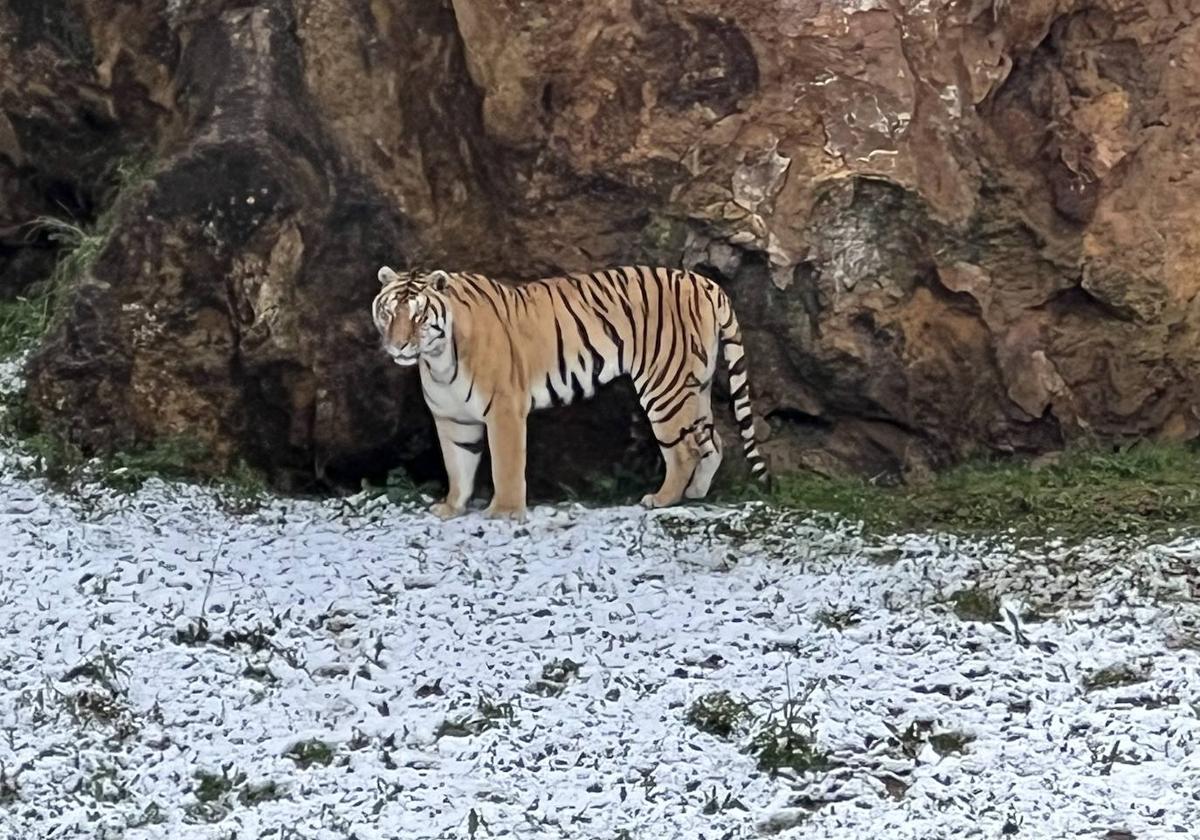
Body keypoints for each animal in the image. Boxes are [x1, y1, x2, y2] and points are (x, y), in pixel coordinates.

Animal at [369, 265, 772, 520]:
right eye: (389, 313)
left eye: (420, 317)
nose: (399, 346)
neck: (437, 360)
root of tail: (705, 283)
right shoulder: (452, 418)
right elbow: (458, 466)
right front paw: (451, 507)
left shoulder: (504, 409)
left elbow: (505, 465)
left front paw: (504, 512)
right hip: (696, 385)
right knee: (711, 440)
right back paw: (695, 492)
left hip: (665, 385)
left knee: (685, 448)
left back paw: (661, 499)